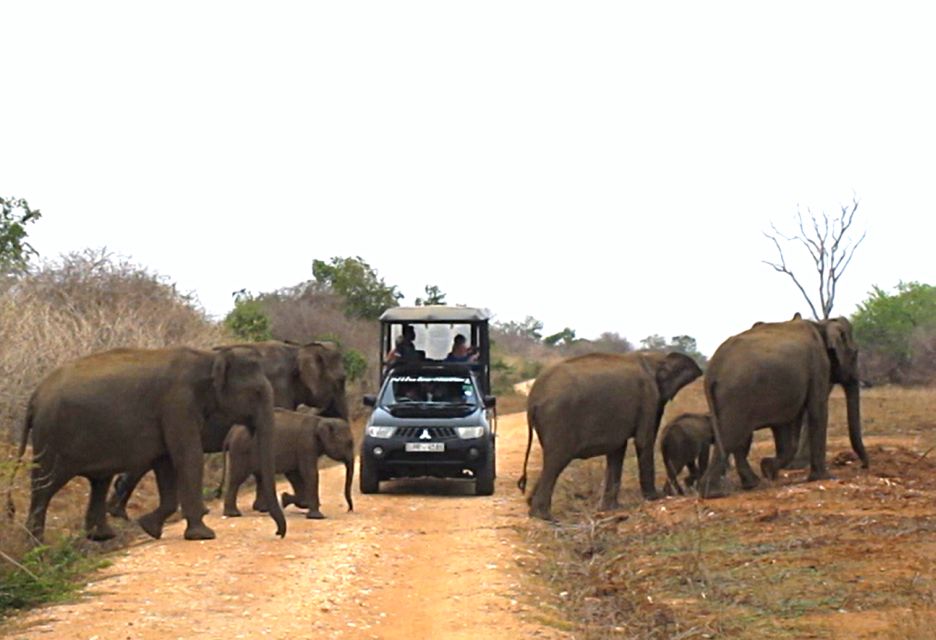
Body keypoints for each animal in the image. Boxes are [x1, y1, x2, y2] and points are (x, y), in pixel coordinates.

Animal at [12, 348, 286, 544]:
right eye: (257, 392)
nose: (278, 534)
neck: (210, 358)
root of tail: (34, 397)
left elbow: (166, 463)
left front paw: (149, 528)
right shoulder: (178, 405)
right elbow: (188, 457)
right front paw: (204, 535)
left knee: (99, 481)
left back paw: (101, 537)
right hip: (51, 437)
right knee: (45, 485)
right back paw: (36, 546)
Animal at [221, 410, 356, 520]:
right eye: (349, 443)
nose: (349, 509)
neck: (321, 420)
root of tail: (230, 433)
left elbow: (295, 474)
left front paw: (288, 500)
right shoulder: (306, 445)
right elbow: (309, 474)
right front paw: (316, 516)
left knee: (260, 477)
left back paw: (263, 509)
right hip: (241, 450)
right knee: (237, 478)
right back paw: (233, 514)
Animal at [520, 350, 704, 520]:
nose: (663, 494)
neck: (653, 358)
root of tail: (532, 401)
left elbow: (617, 449)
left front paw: (610, 508)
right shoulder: (648, 398)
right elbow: (643, 441)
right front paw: (655, 498)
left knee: (552, 461)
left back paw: (533, 506)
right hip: (558, 419)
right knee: (557, 460)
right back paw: (544, 516)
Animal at [700, 316, 868, 500]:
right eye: (855, 353)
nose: (864, 466)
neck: (822, 325)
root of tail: (712, 371)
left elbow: (788, 425)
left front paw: (768, 469)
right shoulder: (819, 366)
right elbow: (817, 410)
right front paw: (825, 477)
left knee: (738, 438)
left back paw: (751, 484)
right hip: (736, 395)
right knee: (731, 436)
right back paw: (714, 493)